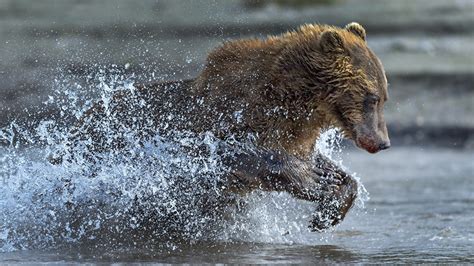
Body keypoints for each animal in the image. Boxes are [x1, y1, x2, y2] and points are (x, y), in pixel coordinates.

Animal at [51, 22, 390, 231]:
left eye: (384, 97)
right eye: (371, 97)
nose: (383, 142)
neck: (294, 101)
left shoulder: (294, 134)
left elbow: (323, 164)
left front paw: (330, 204)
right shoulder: (226, 118)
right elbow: (231, 156)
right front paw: (315, 181)